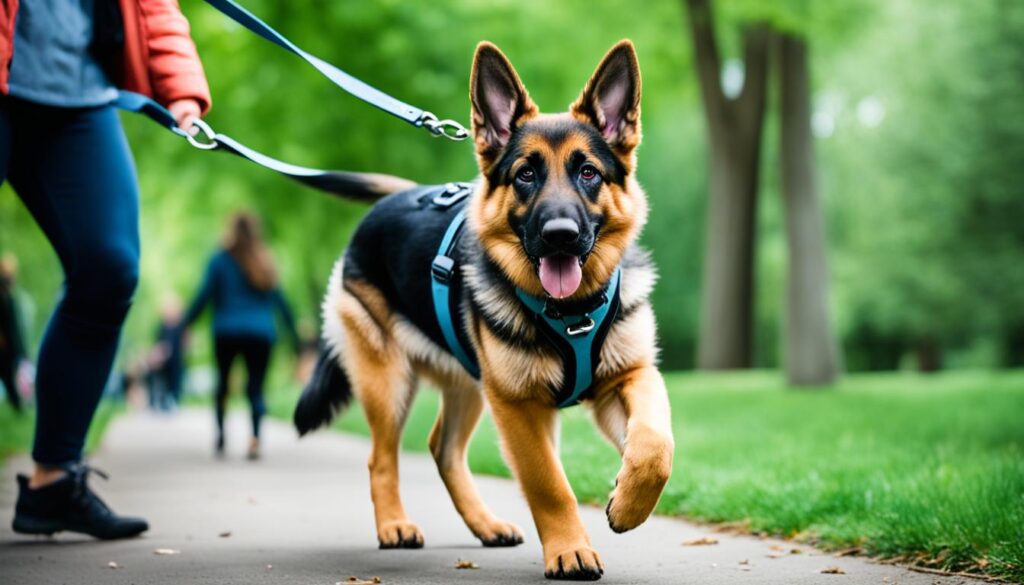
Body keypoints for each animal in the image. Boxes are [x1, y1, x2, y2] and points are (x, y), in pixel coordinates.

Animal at [294, 41, 671, 581]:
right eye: (526, 175)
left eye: (589, 173)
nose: (560, 235)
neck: (570, 312)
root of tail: (394, 199)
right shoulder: (517, 407)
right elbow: (549, 484)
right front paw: (569, 551)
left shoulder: (630, 377)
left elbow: (655, 446)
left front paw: (627, 504)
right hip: (389, 382)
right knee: (381, 458)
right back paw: (395, 526)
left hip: (469, 384)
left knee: (443, 449)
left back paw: (486, 525)